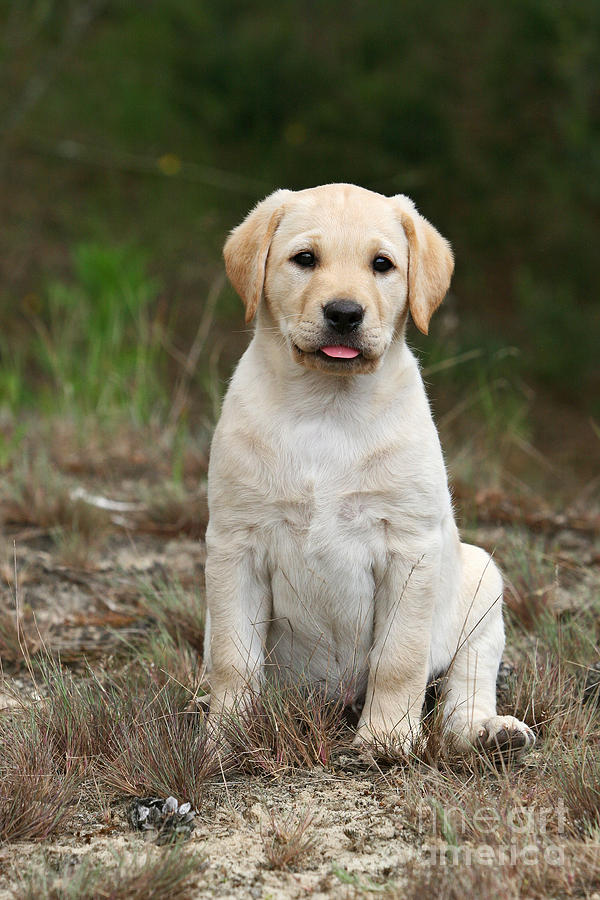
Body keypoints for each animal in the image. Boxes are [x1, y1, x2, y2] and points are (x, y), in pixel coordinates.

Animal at [206, 181, 536, 752]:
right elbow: (234, 658)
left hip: (483, 587)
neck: (327, 409)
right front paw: (223, 740)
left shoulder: (409, 547)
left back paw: (487, 732)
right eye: (305, 259)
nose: (344, 313)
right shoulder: (234, 543)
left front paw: (384, 739)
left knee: (463, 690)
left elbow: (398, 658)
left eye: (382, 264)